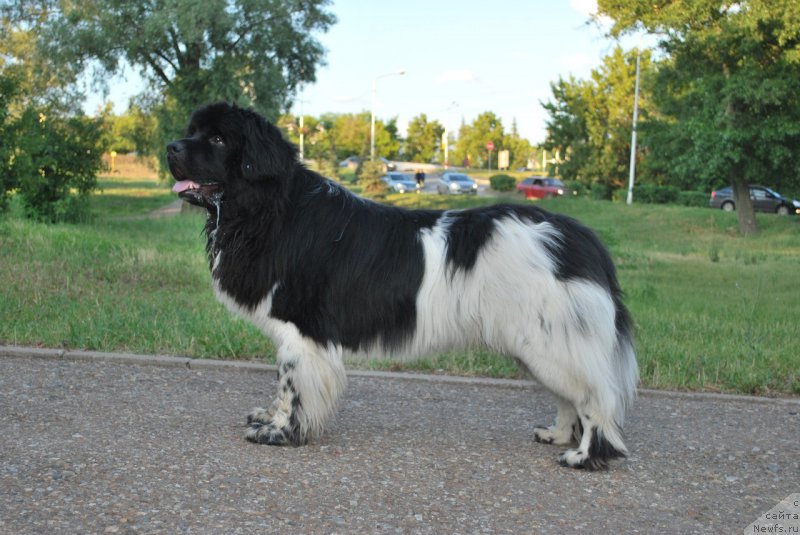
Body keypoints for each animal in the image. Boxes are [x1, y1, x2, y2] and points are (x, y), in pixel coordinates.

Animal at [167, 102, 636, 472]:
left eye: (218, 139)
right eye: (193, 131)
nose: (171, 147)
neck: (268, 209)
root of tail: (581, 239)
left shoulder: (302, 330)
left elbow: (293, 385)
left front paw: (281, 433)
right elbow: (283, 385)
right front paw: (269, 419)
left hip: (552, 342)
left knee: (596, 399)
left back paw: (584, 456)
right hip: (539, 344)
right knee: (569, 398)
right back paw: (557, 435)